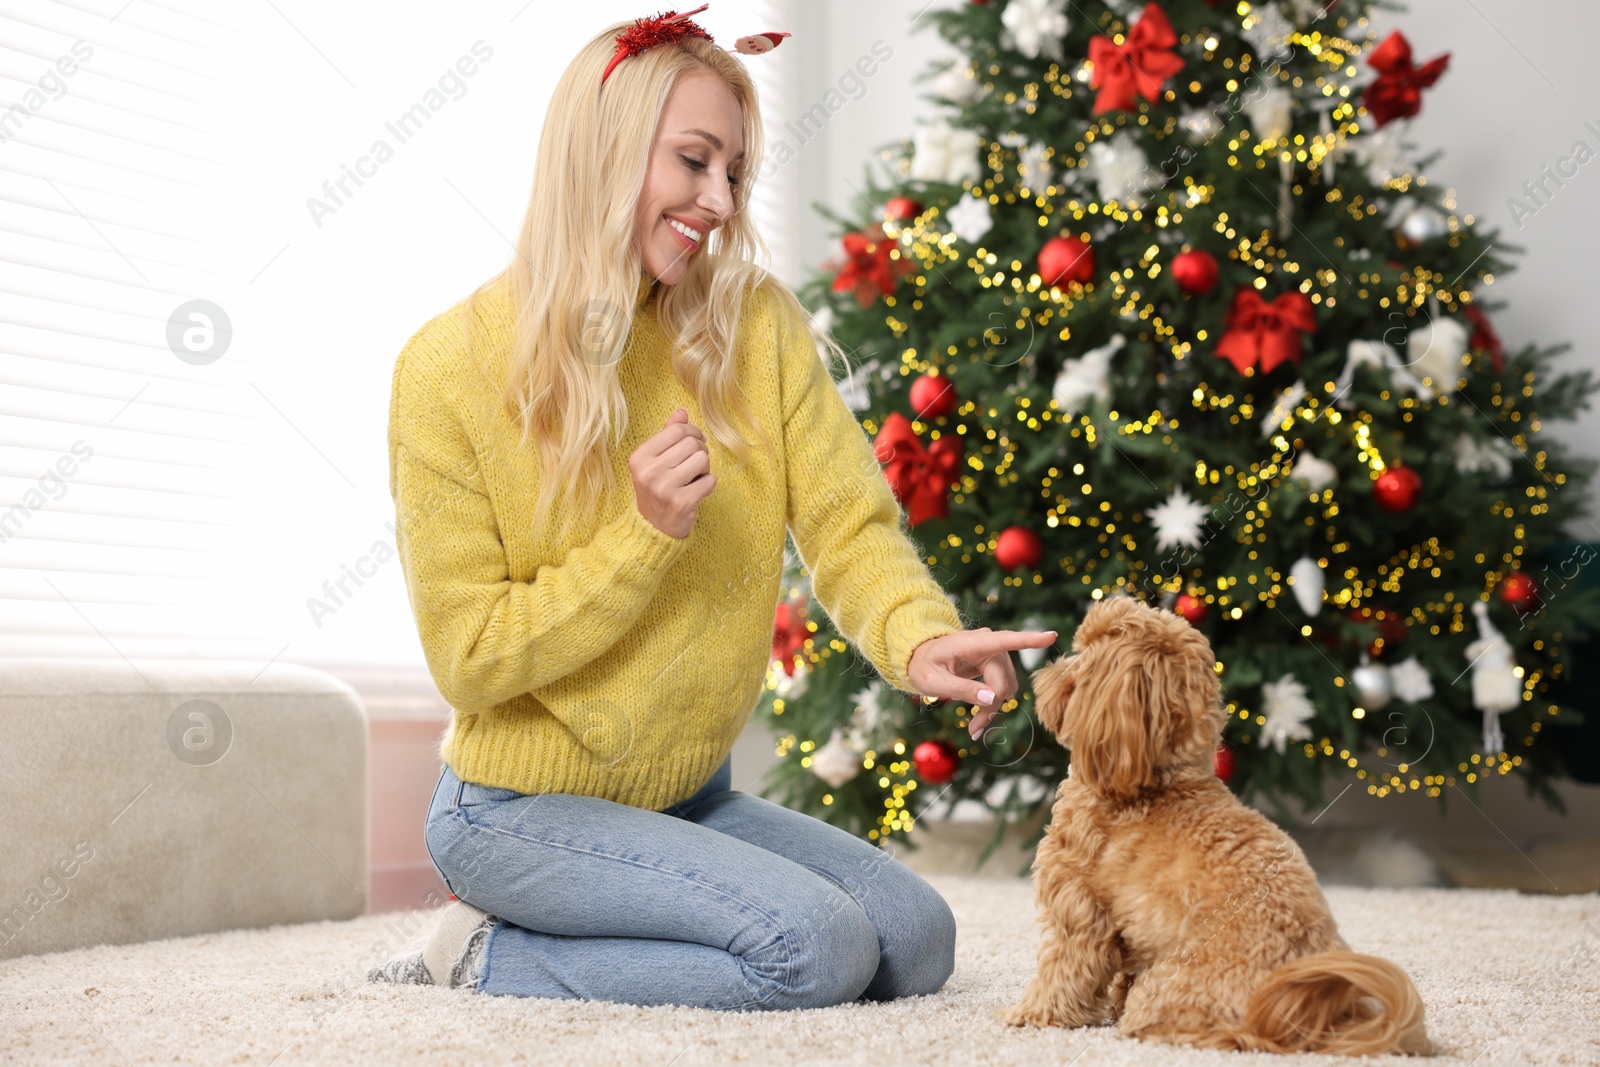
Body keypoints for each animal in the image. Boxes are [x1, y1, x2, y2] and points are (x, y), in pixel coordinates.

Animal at [998, 598, 1440, 1055]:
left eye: (1082, 656)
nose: (1047, 670)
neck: (1158, 783)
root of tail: (1313, 1009)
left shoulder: (1080, 911)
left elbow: (1063, 972)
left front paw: (1031, 1015)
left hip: (1171, 982)